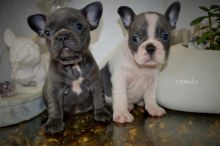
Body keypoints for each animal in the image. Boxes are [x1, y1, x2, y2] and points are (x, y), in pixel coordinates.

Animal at [27, 1, 111, 133]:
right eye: (47, 32)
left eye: (79, 26)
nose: (62, 35)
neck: (73, 65)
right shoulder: (54, 90)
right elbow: (55, 106)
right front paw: (53, 122)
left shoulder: (95, 82)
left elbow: (99, 97)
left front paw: (101, 112)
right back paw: (46, 116)